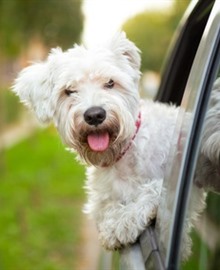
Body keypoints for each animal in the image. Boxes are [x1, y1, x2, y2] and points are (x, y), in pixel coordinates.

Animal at [12, 32, 211, 260]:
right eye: (69, 91)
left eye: (110, 83)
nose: (95, 115)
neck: (123, 154)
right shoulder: (101, 200)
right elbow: (107, 207)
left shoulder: (185, 182)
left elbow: (155, 188)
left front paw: (123, 223)